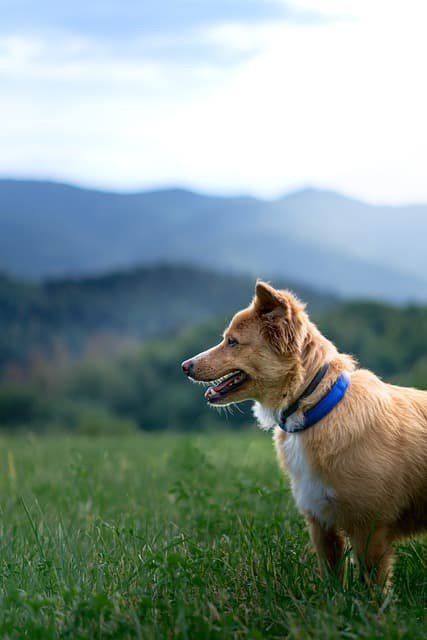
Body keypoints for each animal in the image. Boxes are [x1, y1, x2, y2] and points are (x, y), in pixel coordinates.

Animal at [182, 282, 427, 588]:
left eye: (233, 342)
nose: (184, 366)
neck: (317, 407)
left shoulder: (369, 528)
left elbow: (372, 585)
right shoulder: (320, 523)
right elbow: (332, 577)